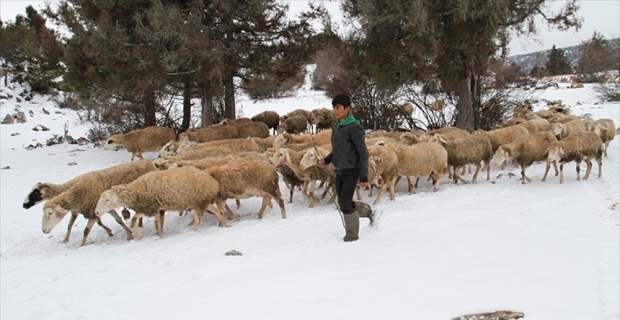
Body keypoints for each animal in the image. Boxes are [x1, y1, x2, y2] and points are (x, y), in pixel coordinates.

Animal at [94, 166, 225, 239]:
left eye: (107, 200)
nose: (96, 213)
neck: (136, 191)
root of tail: (213, 182)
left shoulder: (150, 207)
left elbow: (135, 219)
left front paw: (138, 236)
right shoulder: (156, 208)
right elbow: (158, 223)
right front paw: (160, 236)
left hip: (199, 202)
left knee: (199, 220)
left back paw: (193, 232)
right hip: (202, 201)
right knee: (216, 211)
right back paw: (225, 224)